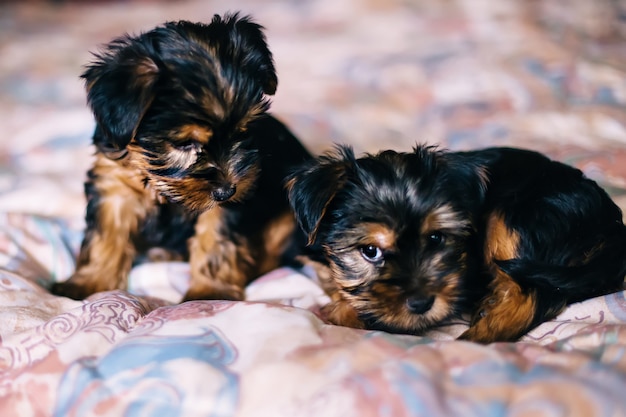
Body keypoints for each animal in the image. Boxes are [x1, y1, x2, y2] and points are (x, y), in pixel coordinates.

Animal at [52, 12, 310, 300]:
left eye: (244, 131)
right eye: (186, 144)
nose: (226, 191)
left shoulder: (230, 203)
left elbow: (214, 239)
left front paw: (210, 292)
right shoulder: (113, 184)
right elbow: (105, 235)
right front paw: (90, 283)